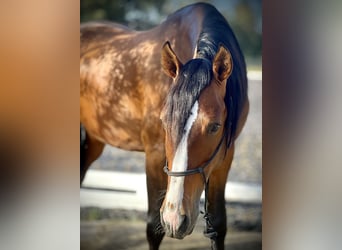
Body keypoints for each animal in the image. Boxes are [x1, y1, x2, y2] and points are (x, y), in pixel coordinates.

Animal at [82, 2, 250, 250]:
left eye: (215, 126)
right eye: (164, 121)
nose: (175, 219)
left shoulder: (225, 155)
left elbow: (218, 225)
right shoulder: (154, 154)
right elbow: (153, 227)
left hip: (94, 140)